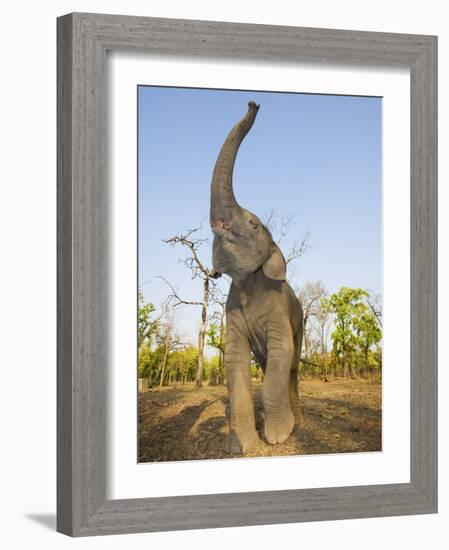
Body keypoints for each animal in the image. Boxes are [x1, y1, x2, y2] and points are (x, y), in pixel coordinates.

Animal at [209, 101, 300, 454]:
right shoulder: (231, 310)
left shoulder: (278, 308)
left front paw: (277, 438)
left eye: (254, 224)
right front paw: (239, 448)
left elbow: (282, 350)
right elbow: (234, 359)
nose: (254, 103)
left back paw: (299, 422)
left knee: (292, 366)